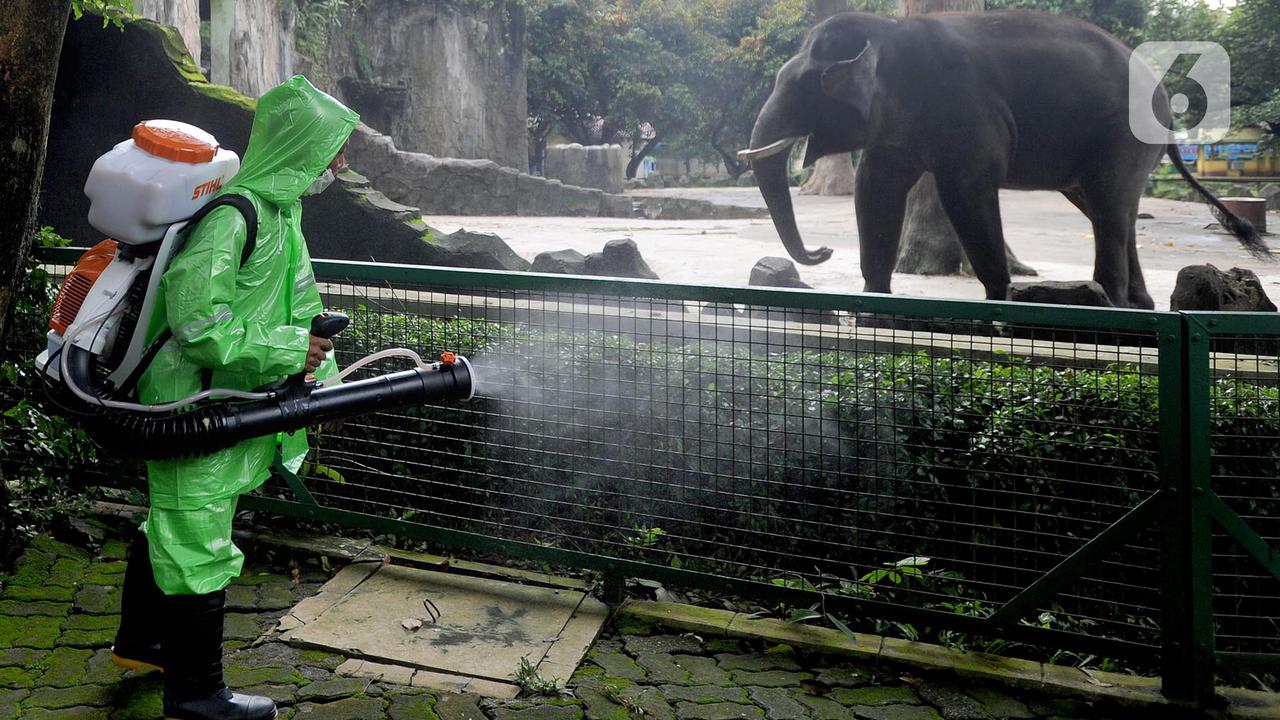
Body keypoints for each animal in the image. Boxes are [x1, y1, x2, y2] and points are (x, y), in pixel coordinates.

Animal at [742, 10, 1269, 308]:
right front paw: (875, 303)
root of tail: (1163, 95)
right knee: (1111, 211)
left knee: (1108, 205)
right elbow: (875, 188)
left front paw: (1001, 304)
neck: (887, 31)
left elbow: (966, 190)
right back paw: (1139, 305)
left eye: (801, 89)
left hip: (1123, 134)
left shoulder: (965, 111)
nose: (823, 251)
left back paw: (1115, 304)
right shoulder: (895, 127)